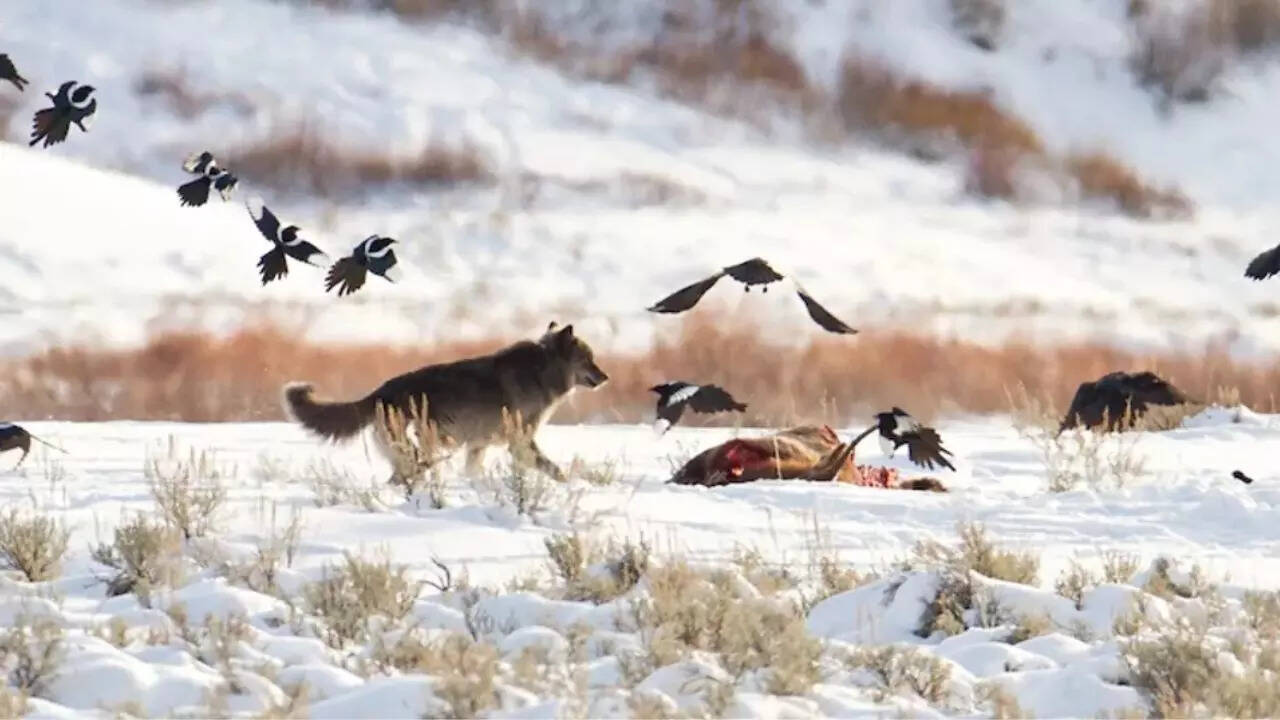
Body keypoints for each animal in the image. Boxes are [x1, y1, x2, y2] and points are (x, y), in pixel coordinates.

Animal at [283, 323, 608, 486]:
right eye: (589, 359)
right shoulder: (520, 444)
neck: (542, 371)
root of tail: (380, 392)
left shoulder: (478, 446)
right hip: (418, 454)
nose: (606, 378)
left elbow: (473, 474)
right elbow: (556, 471)